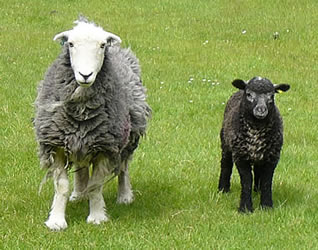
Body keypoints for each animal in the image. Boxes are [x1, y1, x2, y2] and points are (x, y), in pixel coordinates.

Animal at [34, 16, 151, 229]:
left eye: (102, 45)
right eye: (71, 44)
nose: (85, 75)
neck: (81, 113)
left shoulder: (106, 146)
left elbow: (96, 185)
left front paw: (96, 217)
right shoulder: (56, 145)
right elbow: (61, 186)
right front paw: (56, 221)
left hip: (128, 135)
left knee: (123, 166)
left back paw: (124, 196)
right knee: (81, 170)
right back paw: (79, 194)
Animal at [219, 76, 290, 213]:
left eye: (271, 96)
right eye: (249, 94)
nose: (261, 111)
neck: (256, 129)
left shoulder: (272, 157)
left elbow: (267, 181)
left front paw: (266, 206)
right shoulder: (240, 156)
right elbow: (246, 180)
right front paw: (245, 208)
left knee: (258, 170)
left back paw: (257, 190)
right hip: (225, 143)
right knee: (225, 165)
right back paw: (223, 189)